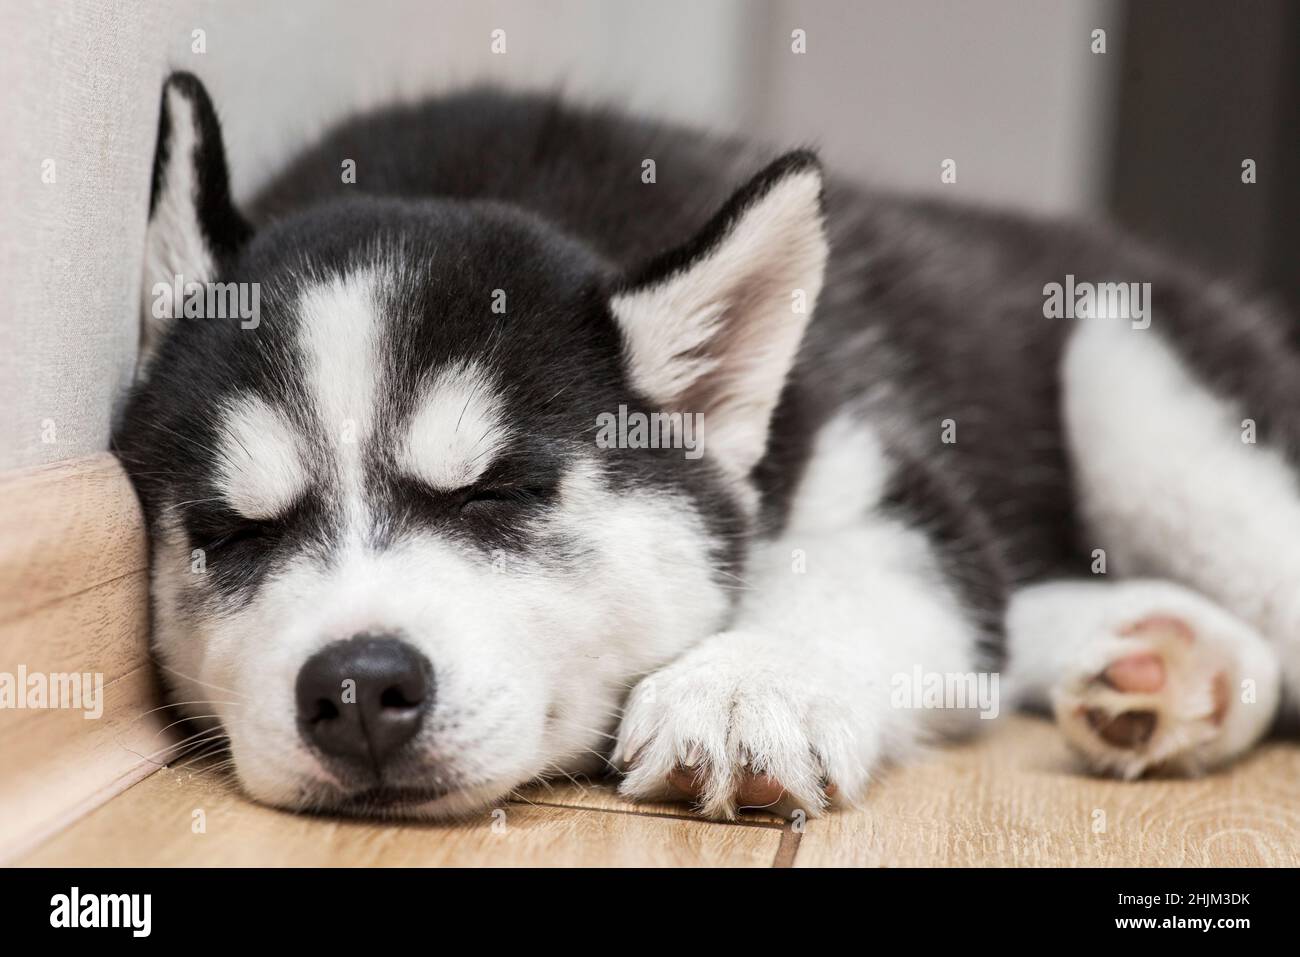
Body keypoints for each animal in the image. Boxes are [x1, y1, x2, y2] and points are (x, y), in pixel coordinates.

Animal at [116, 76, 1294, 821]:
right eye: (231, 530)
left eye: (501, 492)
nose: (358, 688)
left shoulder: (881, 474)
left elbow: (871, 580)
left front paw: (741, 689)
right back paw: (1166, 658)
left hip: (1137, 384)